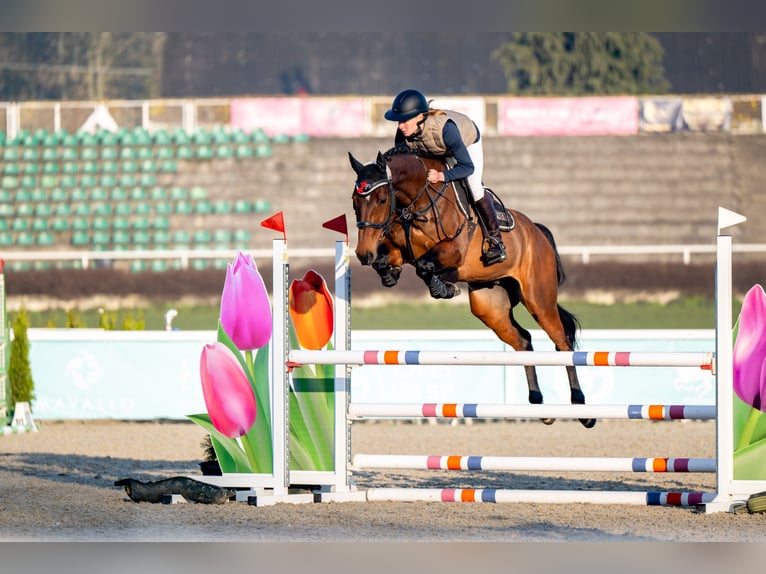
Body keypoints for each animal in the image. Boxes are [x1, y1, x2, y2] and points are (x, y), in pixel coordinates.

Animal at [348, 146, 595, 429]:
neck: (415, 202)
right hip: (490, 305)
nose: (362, 254)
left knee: (562, 343)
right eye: (355, 202)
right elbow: (390, 262)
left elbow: (424, 266)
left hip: (539, 300)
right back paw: (540, 406)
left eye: (381, 200)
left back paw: (582, 409)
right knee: (523, 341)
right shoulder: (400, 251)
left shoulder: (452, 251)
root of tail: (537, 231)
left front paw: (444, 288)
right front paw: (392, 275)